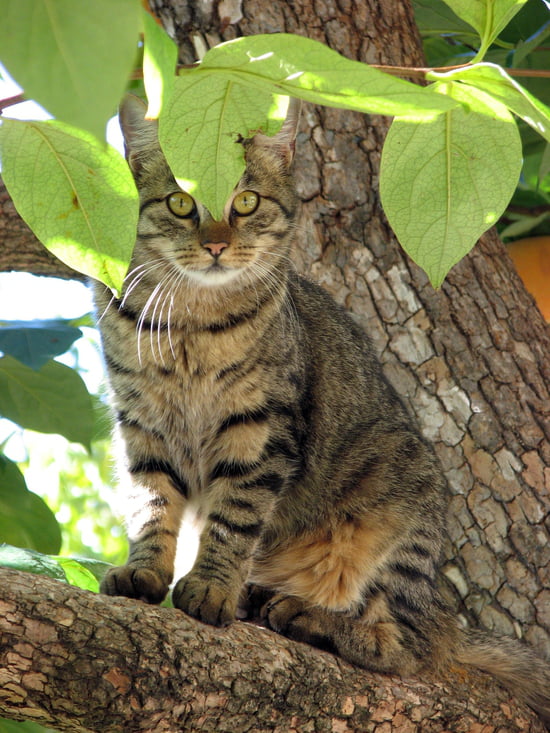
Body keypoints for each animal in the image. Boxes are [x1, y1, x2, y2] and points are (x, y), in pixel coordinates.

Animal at [97, 94, 550, 724]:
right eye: (182, 202)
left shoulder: (261, 427)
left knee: (406, 645)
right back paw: (263, 596)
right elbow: (151, 505)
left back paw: (307, 615)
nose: (215, 244)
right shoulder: (142, 424)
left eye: (245, 201)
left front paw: (211, 586)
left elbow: (233, 520)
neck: (190, 321)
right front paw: (146, 571)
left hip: (397, 501)